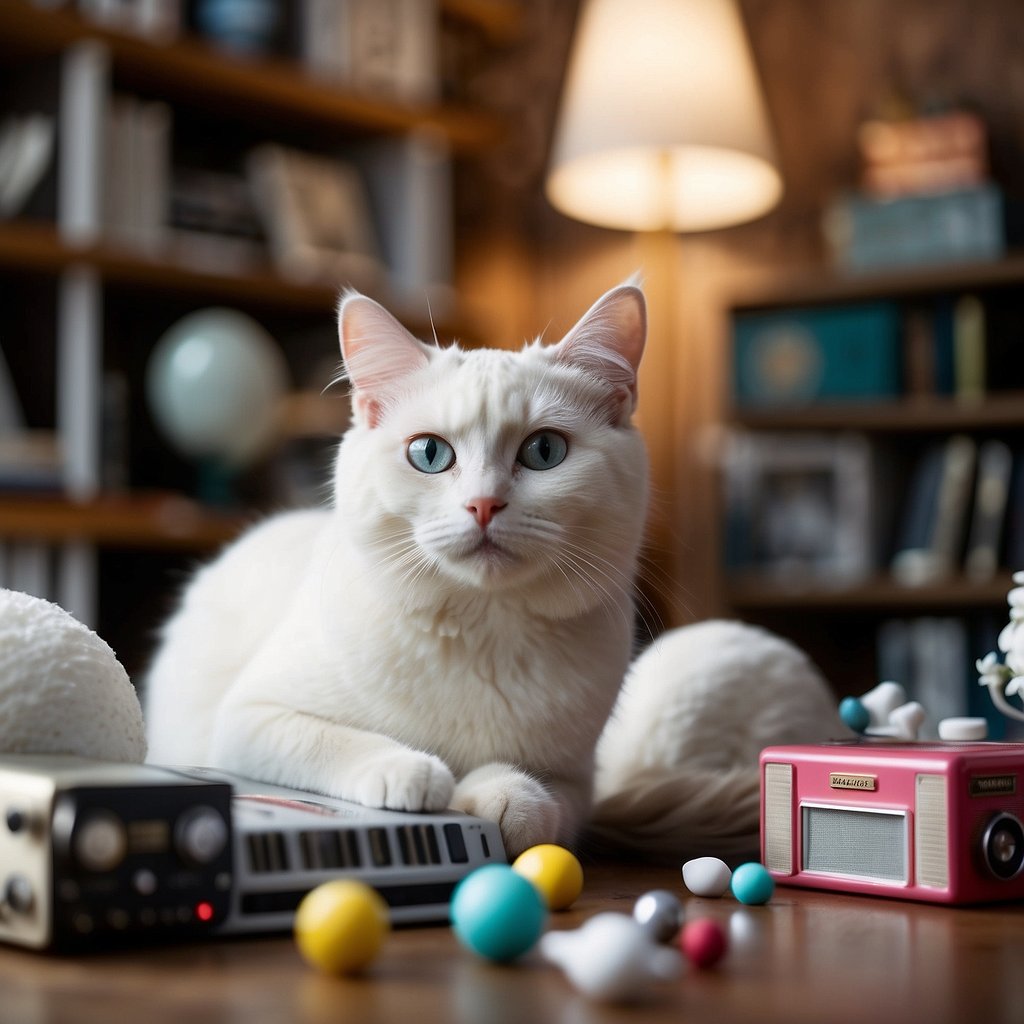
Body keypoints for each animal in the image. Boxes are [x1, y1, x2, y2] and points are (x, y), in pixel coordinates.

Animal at [146, 278, 847, 856]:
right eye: (429, 454)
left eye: (544, 451)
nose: (484, 504)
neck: (483, 628)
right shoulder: (249, 720)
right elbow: (337, 740)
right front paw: (411, 771)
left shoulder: (577, 777)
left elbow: (545, 799)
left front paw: (503, 799)